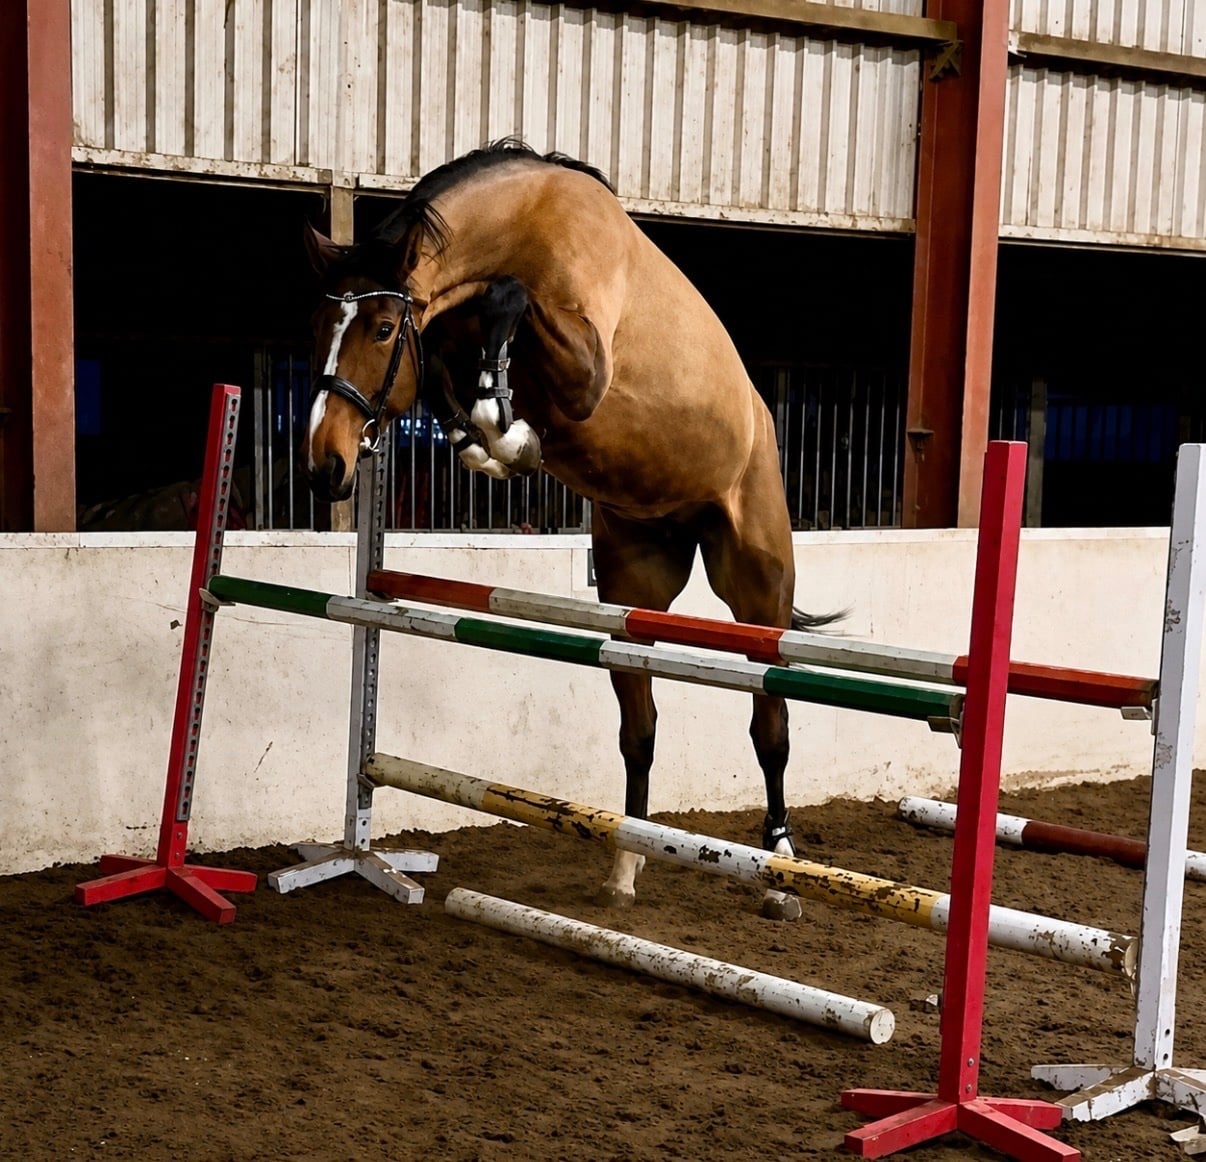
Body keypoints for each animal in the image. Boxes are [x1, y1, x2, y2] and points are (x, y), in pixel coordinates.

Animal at [300, 139, 839, 919]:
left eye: (380, 329)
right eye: (317, 328)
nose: (324, 466)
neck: (524, 226)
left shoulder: (584, 365)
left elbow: (510, 300)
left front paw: (506, 428)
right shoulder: (449, 342)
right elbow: (454, 387)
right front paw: (497, 437)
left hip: (757, 584)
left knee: (770, 722)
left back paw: (780, 864)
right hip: (632, 593)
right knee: (640, 727)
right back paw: (628, 862)